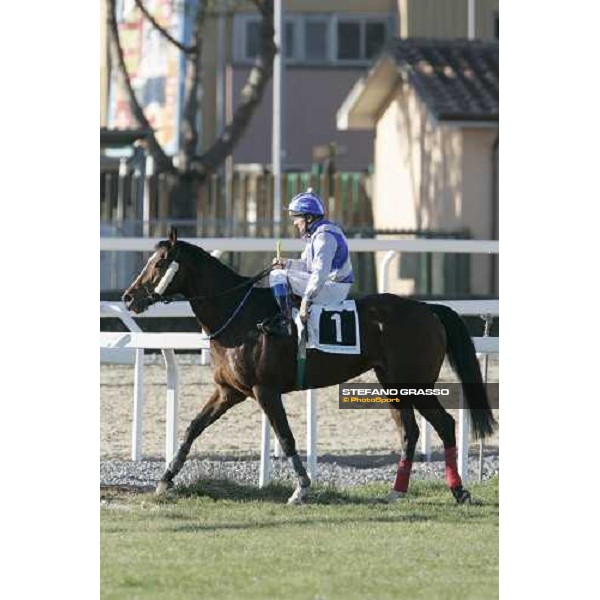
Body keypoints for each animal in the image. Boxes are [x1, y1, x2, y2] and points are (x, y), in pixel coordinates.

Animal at [123, 227, 496, 504]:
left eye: (159, 263)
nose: (128, 297)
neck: (239, 315)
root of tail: (428, 308)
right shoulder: (229, 391)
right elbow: (193, 428)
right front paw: (165, 479)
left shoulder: (265, 390)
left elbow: (286, 438)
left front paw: (301, 488)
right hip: (391, 383)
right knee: (410, 432)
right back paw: (398, 491)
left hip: (412, 382)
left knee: (444, 424)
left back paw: (459, 490)